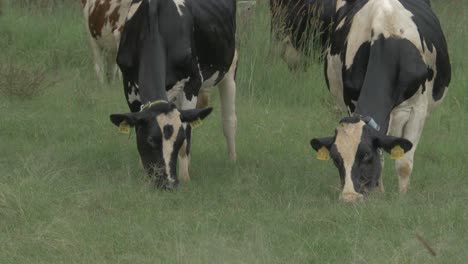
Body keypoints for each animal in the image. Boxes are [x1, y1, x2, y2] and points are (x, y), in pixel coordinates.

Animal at [109, 0, 238, 190]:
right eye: (150, 140)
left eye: (178, 141)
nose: (169, 183)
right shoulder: (129, 85)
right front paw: (144, 175)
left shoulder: (191, 85)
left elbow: (187, 136)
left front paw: (185, 177)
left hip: (230, 67)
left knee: (228, 120)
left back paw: (232, 160)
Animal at [310, 0, 450, 202]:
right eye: (336, 159)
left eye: (366, 156)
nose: (350, 197)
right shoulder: (352, 102)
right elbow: (382, 157)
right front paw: (379, 193)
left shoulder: (417, 109)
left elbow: (404, 163)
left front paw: (402, 197)